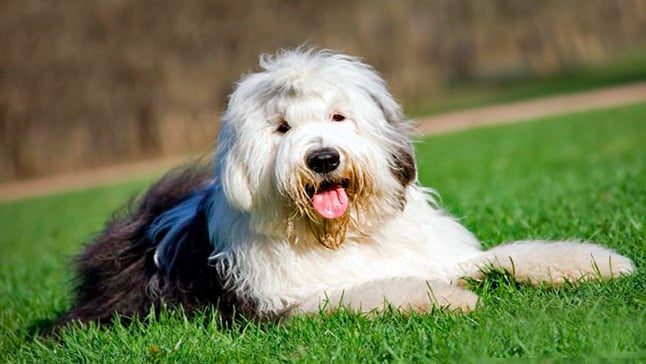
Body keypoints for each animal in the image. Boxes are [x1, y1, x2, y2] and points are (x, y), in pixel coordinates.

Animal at [57, 49, 636, 328]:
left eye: (339, 117)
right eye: (282, 128)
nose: (323, 158)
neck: (338, 234)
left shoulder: (436, 253)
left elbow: (508, 254)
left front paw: (594, 263)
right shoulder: (282, 303)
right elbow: (372, 290)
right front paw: (449, 299)